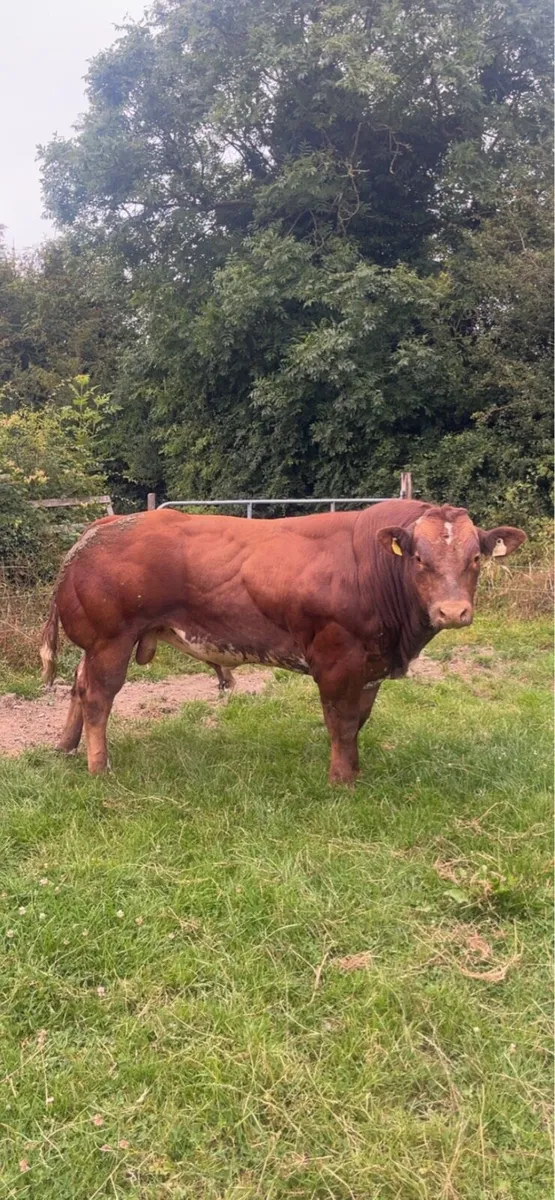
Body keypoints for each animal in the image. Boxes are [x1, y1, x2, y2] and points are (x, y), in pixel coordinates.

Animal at [39, 501, 525, 783]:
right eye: (420, 558)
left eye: (476, 557)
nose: (452, 611)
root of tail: (105, 523)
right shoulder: (336, 658)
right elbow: (341, 722)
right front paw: (341, 780)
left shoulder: (371, 664)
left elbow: (360, 720)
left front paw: (355, 770)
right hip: (110, 640)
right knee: (98, 697)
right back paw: (99, 767)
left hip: (97, 645)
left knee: (79, 686)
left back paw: (66, 747)